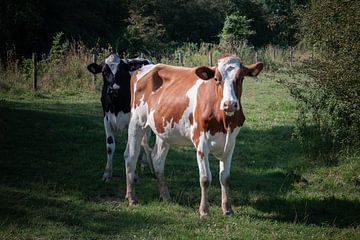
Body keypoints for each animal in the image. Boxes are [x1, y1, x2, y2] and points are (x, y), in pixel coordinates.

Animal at [123, 55, 262, 217]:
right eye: (216, 78)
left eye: (241, 78)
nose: (229, 104)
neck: (225, 122)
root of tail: (144, 68)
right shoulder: (201, 142)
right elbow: (205, 179)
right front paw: (204, 210)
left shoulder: (231, 143)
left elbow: (225, 178)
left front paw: (227, 209)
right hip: (137, 121)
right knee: (130, 156)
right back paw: (132, 198)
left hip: (164, 129)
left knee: (157, 159)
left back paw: (166, 197)